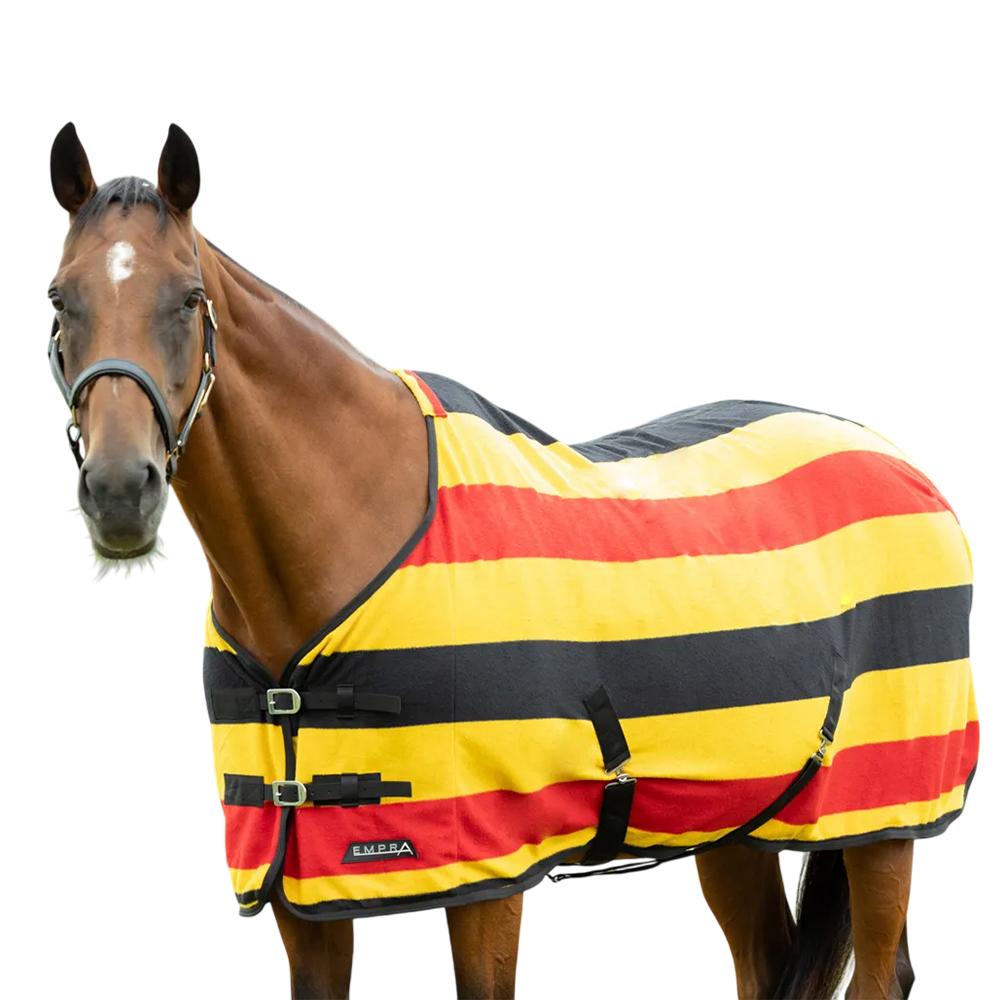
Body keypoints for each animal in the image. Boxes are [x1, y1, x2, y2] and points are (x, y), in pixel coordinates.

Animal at [45, 122, 976, 1000]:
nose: (120, 491)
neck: (359, 530)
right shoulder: (300, 891)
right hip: (730, 820)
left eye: (188, 296)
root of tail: (904, 467)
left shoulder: (488, 877)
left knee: (879, 971)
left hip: (884, 819)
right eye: (60, 298)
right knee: (767, 962)